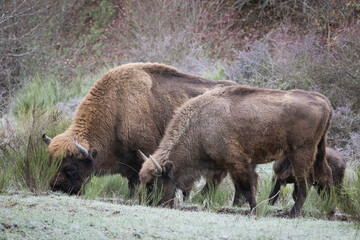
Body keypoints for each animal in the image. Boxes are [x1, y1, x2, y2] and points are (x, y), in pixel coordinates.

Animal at [138, 84, 332, 218]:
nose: (143, 203)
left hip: (301, 153)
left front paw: (253, 211)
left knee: (305, 182)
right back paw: (328, 208)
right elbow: (218, 188)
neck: (201, 124)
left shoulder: (236, 162)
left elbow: (246, 187)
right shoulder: (221, 167)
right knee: (324, 176)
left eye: (151, 184)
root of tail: (323, 101)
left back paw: (293, 213)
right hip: (317, 152)